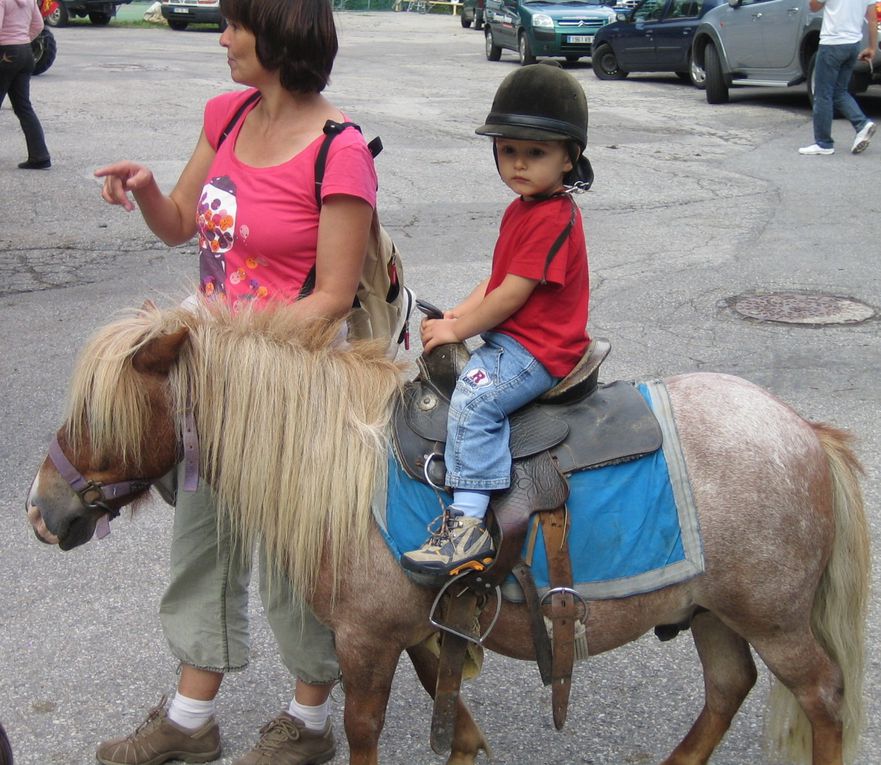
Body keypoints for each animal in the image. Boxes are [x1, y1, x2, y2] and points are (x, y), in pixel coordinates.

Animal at [25, 298, 868, 764]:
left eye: (98, 414)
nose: (41, 511)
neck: (342, 463)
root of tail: (803, 431)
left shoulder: (367, 640)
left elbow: (365, 728)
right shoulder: (422, 629)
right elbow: (452, 718)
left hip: (774, 619)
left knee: (822, 695)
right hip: (711, 611)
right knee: (728, 686)